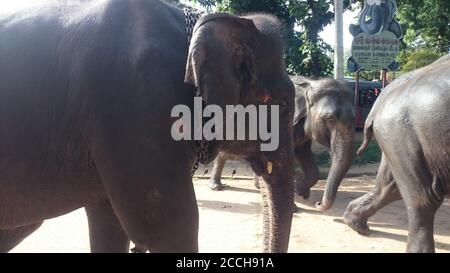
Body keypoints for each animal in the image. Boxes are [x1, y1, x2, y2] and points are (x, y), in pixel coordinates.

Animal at [207, 76, 356, 210]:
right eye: (331, 119)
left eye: (355, 118)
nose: (318, 204)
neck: (310, 83)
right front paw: (294, 206)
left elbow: (304, 154)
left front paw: (301, 193)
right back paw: (216, 187)